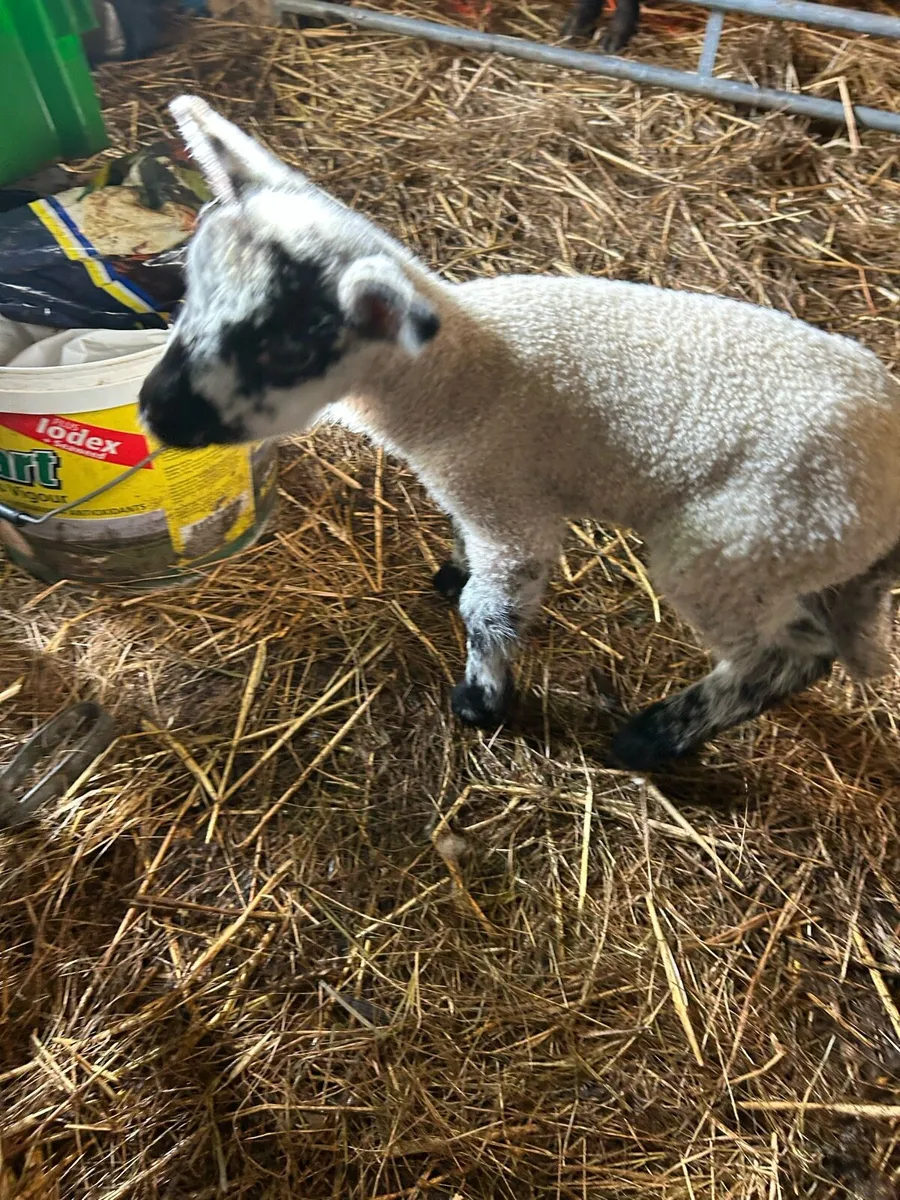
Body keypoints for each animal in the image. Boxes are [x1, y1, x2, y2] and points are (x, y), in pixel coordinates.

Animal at [139, 95, 900, 771]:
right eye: (189, 288)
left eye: (286, 349)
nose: (152, 412)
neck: (456, 376)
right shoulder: (475, 493)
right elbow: (465, 556)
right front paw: (451, 571)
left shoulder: (509, 508)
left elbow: (491, 609)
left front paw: (481, 701)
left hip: (736, 547)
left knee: (787, 655)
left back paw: (655, 737)